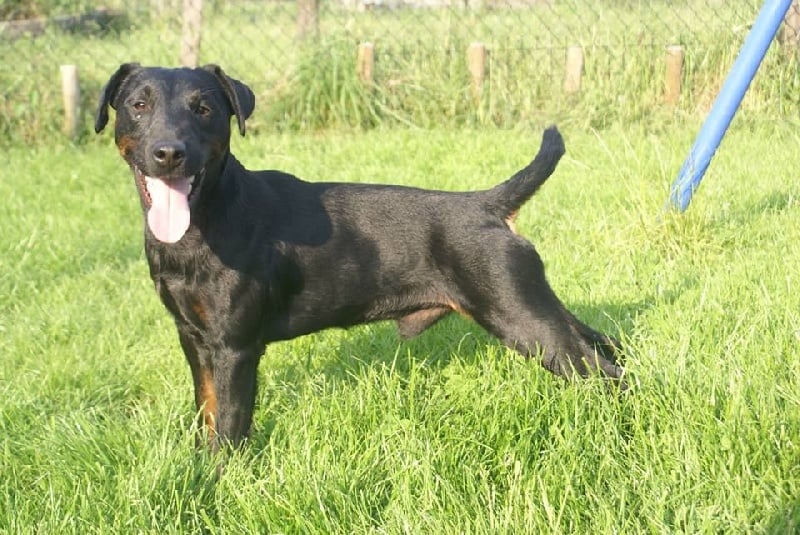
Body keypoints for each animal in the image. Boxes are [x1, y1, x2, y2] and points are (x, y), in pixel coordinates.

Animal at [95, 63, 624, 452]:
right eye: (138, 105)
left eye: (204, 109)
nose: (169, 152)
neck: (205, 218)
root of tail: (487, 205)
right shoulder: (193, 338)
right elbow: (204, 410)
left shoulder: (234, 348)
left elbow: (227, 425)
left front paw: (216, 480)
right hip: (532, 303)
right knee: (602, 342)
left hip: (521, 316)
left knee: (603, 373)